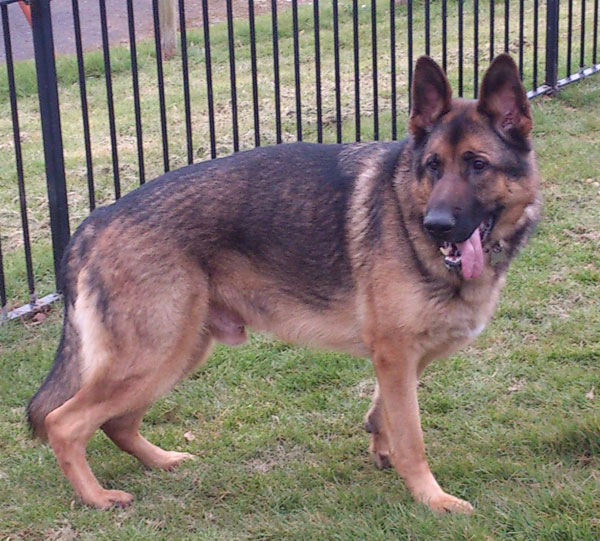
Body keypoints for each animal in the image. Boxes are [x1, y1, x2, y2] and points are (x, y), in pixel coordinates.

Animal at [27, 53, 540, 510]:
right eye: (433, 165)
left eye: (478, 164)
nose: (436, 226)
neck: (407, 209)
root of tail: (96, 221)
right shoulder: (396, 353)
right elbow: (412, 437)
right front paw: (432, 500)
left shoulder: (401, 357)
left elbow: (384, 413)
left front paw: (381, 448)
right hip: (154, 353)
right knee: (64, 423)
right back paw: (97, 497)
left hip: (178, 351)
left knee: (116, 423)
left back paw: (161, 461)